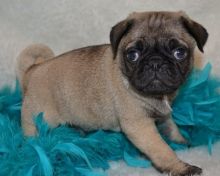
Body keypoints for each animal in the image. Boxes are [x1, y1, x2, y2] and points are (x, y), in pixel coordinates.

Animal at [17, 11, 208, 176]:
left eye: (179, 53)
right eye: (133, 55)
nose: (155, 63)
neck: (158, 96)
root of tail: (33, 70)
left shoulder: (164, 114)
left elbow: (171, 127)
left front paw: (182, 141)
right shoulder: (140, 125)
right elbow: (161, 148)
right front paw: (179, 167)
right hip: (38, 118)